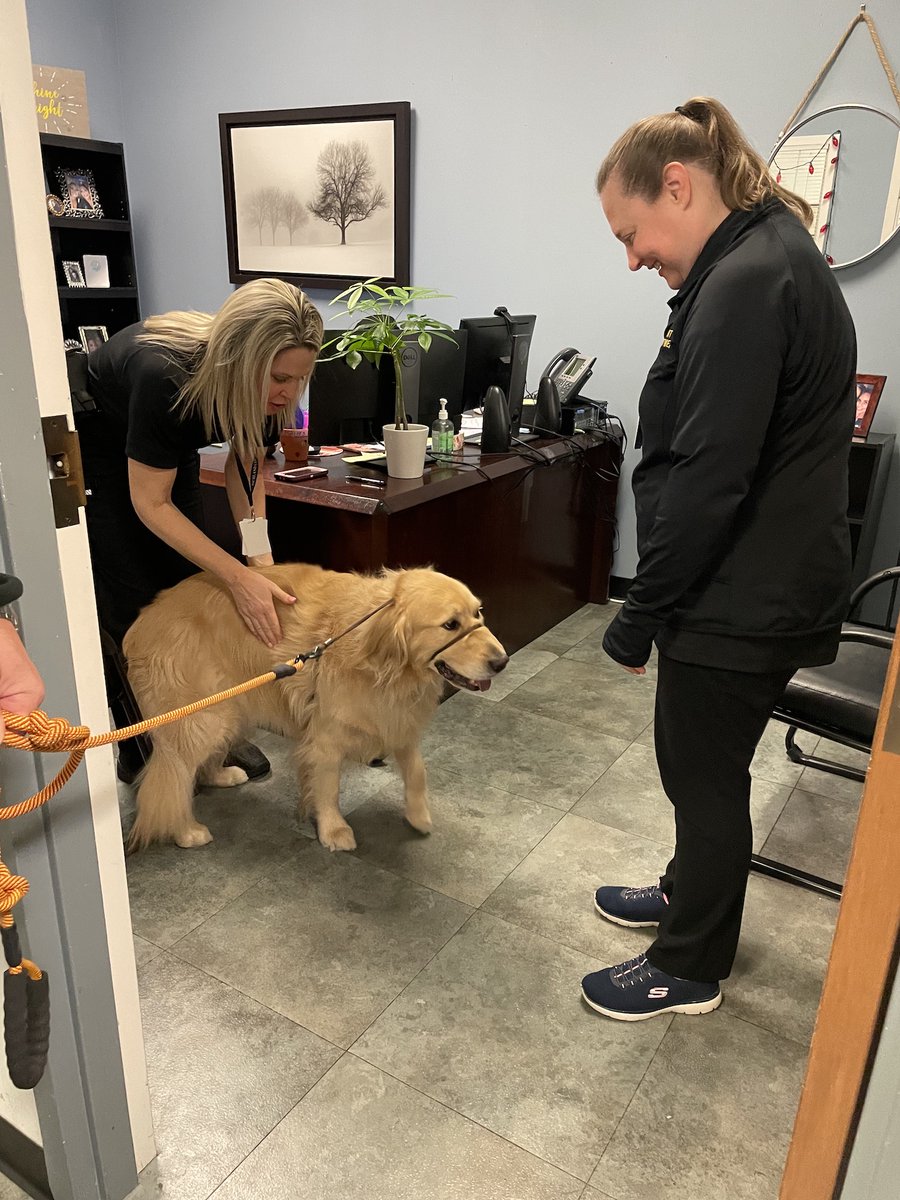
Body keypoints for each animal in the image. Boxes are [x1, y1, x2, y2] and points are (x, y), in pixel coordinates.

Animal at [123, 564, 511, 854]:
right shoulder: (326, 738)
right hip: (203, 718)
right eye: (450, 625)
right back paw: (185, 831)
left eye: (477, 612)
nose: (502, 661)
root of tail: (139, 625)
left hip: (229, 709)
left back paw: (221, 775)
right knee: (171, 778)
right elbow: (328, 788)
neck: (383, 662)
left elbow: (417, 771)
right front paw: (334, 830)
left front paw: (418, 815)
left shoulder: (396, 720)